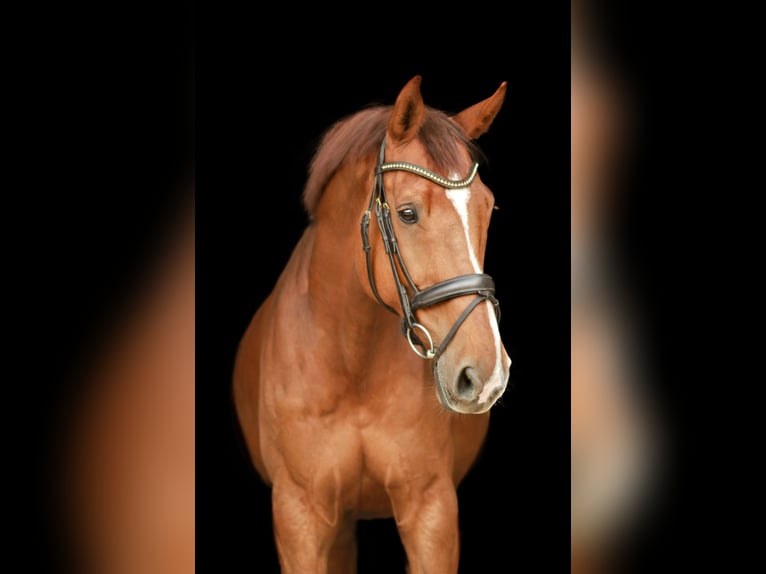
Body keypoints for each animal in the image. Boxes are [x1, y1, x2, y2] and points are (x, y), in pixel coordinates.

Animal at [233, 75, 511, 573]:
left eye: (488, 208)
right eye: (407, 213)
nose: (486, 374)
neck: (352, 366)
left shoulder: (431, 510)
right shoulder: (299, 516)